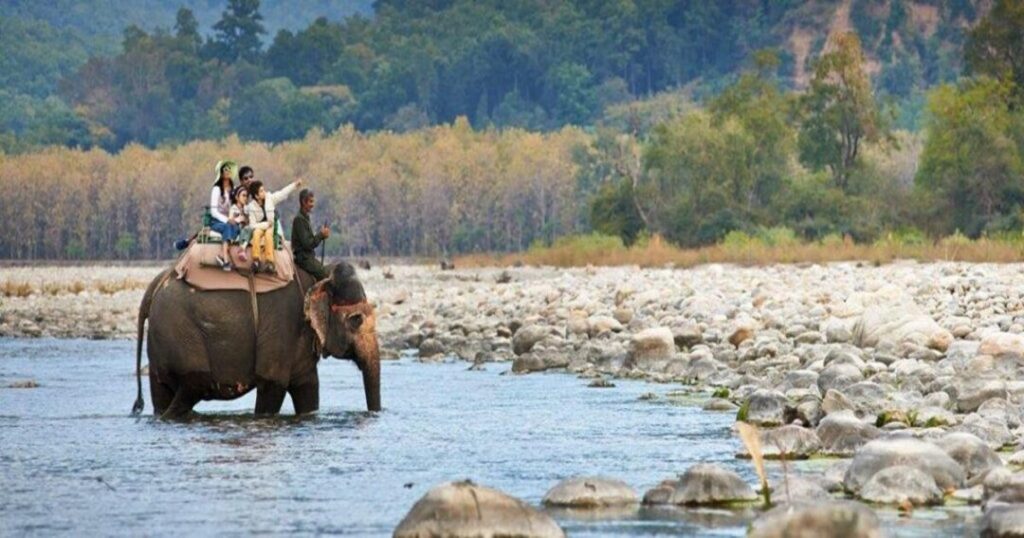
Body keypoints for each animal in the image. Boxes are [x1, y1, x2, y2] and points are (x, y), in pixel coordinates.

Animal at [131, 262, 381, 419]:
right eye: (356, 320)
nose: (374, 413)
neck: (320, 275)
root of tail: (154, 286)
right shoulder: (282, 323)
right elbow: (273, 383)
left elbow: (307, 388)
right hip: (179, 333)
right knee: (195, 384)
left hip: (160, 341)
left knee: (163, 391)